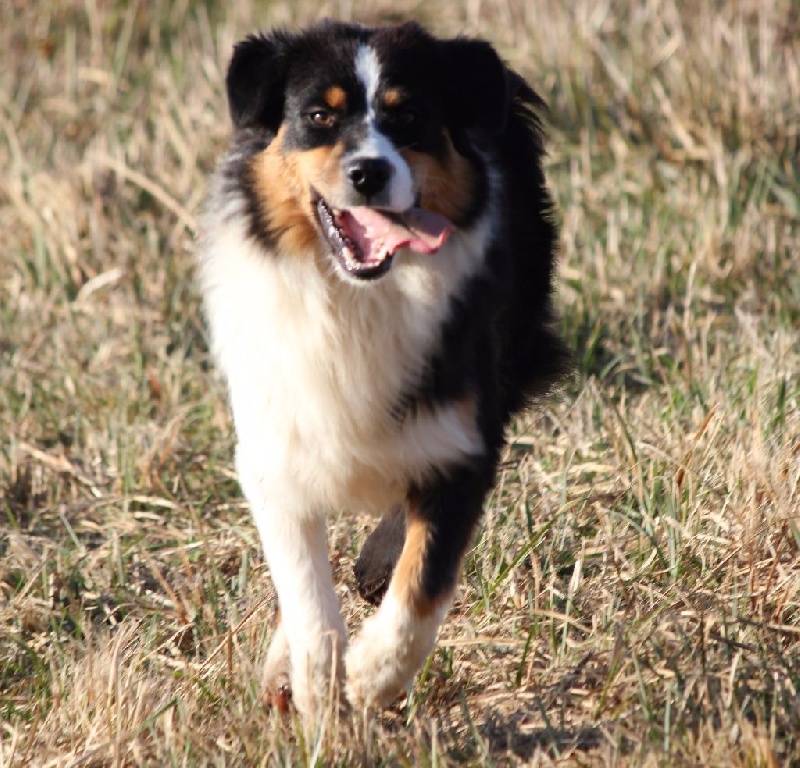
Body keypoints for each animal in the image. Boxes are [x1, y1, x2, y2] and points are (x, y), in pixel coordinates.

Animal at [197, 19, 564, 720]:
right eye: (319, 116)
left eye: (409, 117)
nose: (368, 171)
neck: (356, 300)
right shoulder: (272, 444)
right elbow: (305, 592)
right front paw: (317, 691)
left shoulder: (462, 443)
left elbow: (422, 585)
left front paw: (370, 677)